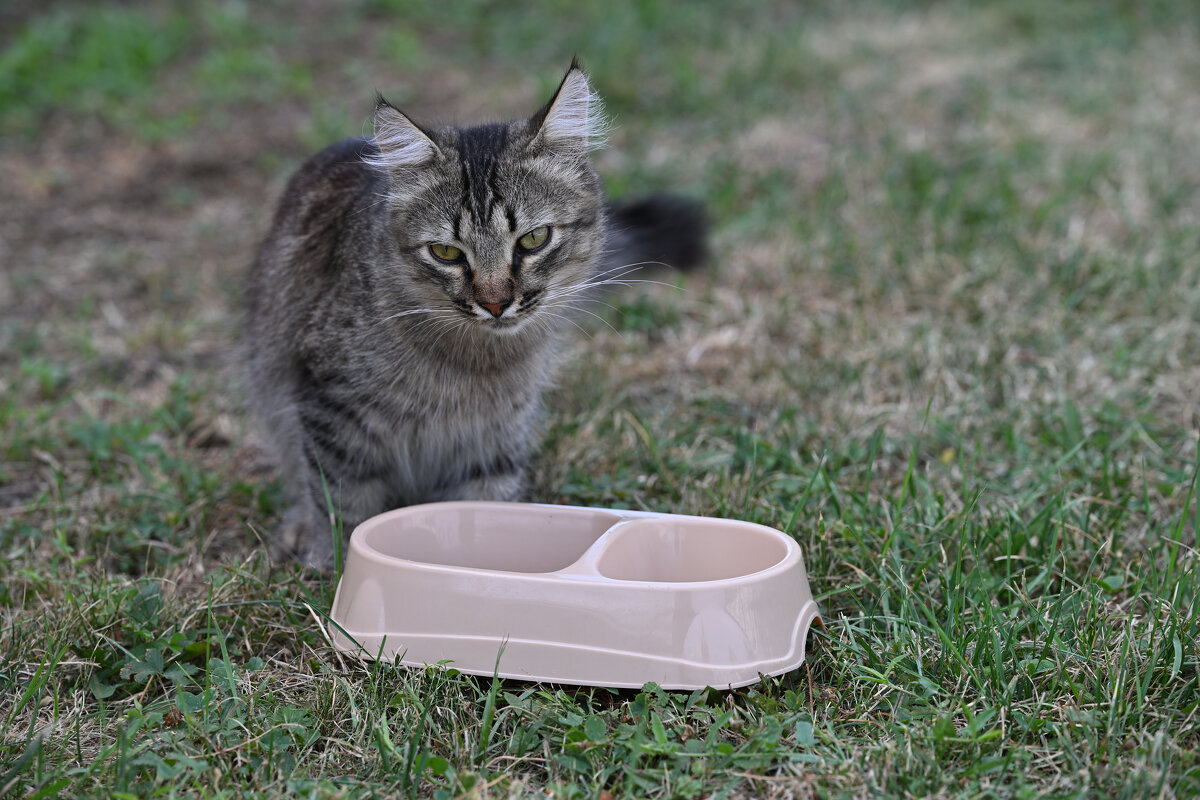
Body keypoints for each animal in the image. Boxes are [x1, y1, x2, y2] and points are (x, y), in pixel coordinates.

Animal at [241, 62, 700, 566]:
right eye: (445, 252)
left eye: (533, 239)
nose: (495, 302)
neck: (473, 365)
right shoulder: (331, 408)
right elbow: (340, 500)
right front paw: (335, 563)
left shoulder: (495, 439)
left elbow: (487, 504)